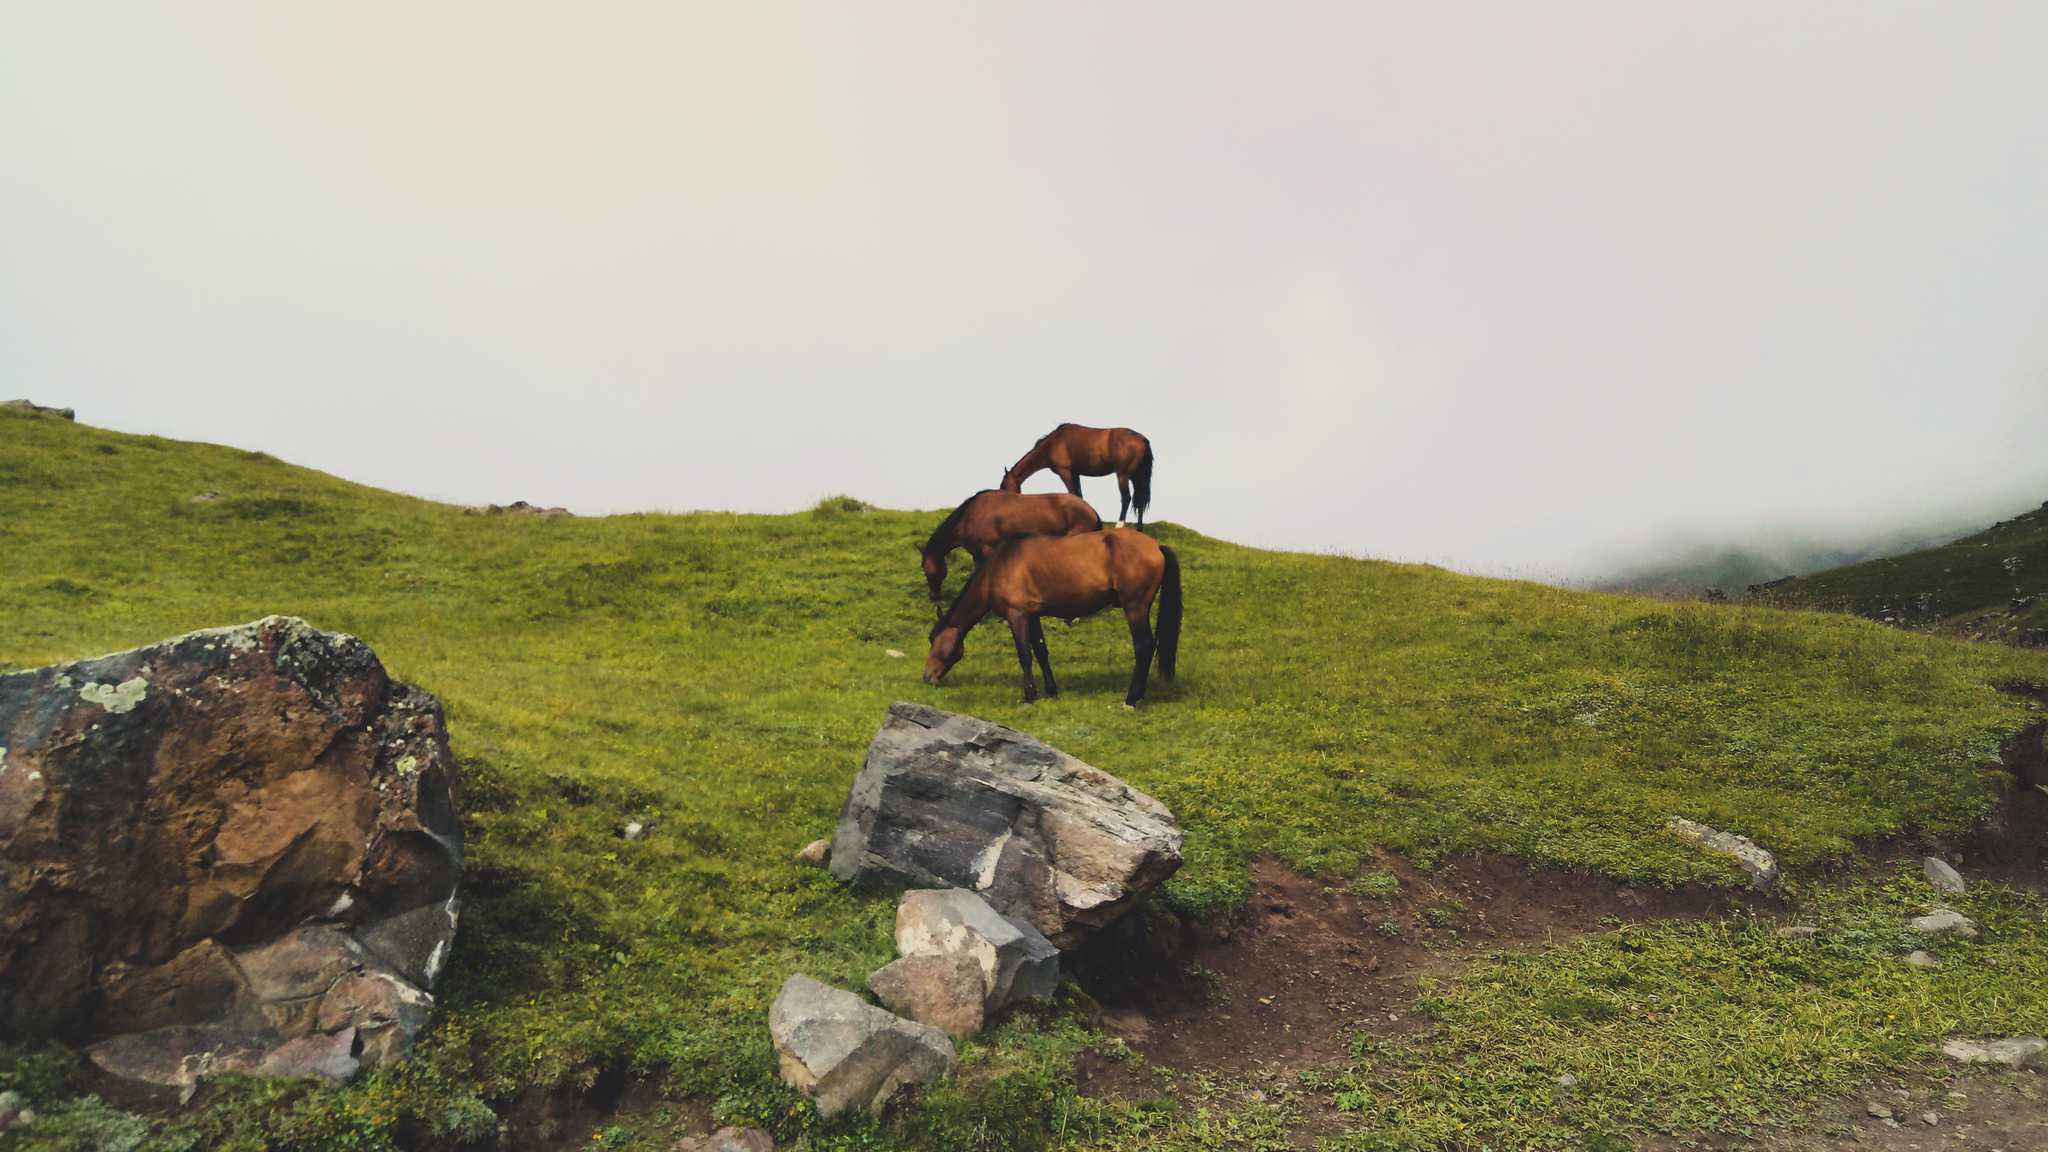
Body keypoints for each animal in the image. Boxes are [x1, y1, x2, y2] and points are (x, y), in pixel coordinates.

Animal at [917, 485, 1105, 602]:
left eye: (925, 568)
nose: (932, 595)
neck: (970, 516)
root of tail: (1090, 509)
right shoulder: (976, 554)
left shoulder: (989, 549)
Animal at [929, 524, 1187, 705]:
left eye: (932, 640)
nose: (928, 677)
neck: (999, 567)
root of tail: (1156, 546)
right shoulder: (1032, 616)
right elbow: (1041, 652)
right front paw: (1050, 691)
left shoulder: (1017, 615)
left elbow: (1025, 655)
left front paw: (1029, 697)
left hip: (1135, 607)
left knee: (1144, 646)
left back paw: (1131, 699)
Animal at [1003, 424, 1163, 528]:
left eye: (1003, 485)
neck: (1053, 443)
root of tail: (1142, 439)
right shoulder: (1075, 473)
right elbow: (1079, 496)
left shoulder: (1065, 472)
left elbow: (1072, 494)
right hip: (1136, 477)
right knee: (1139, 500)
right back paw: (1139, 529)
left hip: (1123, 476)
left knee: (1126, 498)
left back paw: (1119, 525)